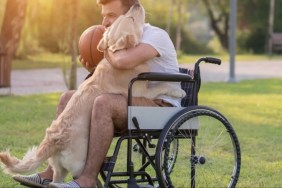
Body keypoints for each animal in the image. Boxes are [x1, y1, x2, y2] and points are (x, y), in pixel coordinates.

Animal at [0, 2, 185, 183]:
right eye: (131, 18)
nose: (137, 5)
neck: (121, 54)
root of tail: (54, 140)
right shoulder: (142, 92)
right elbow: (160, 86)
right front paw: (178, 91)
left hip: (59, 169)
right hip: (80, 163)